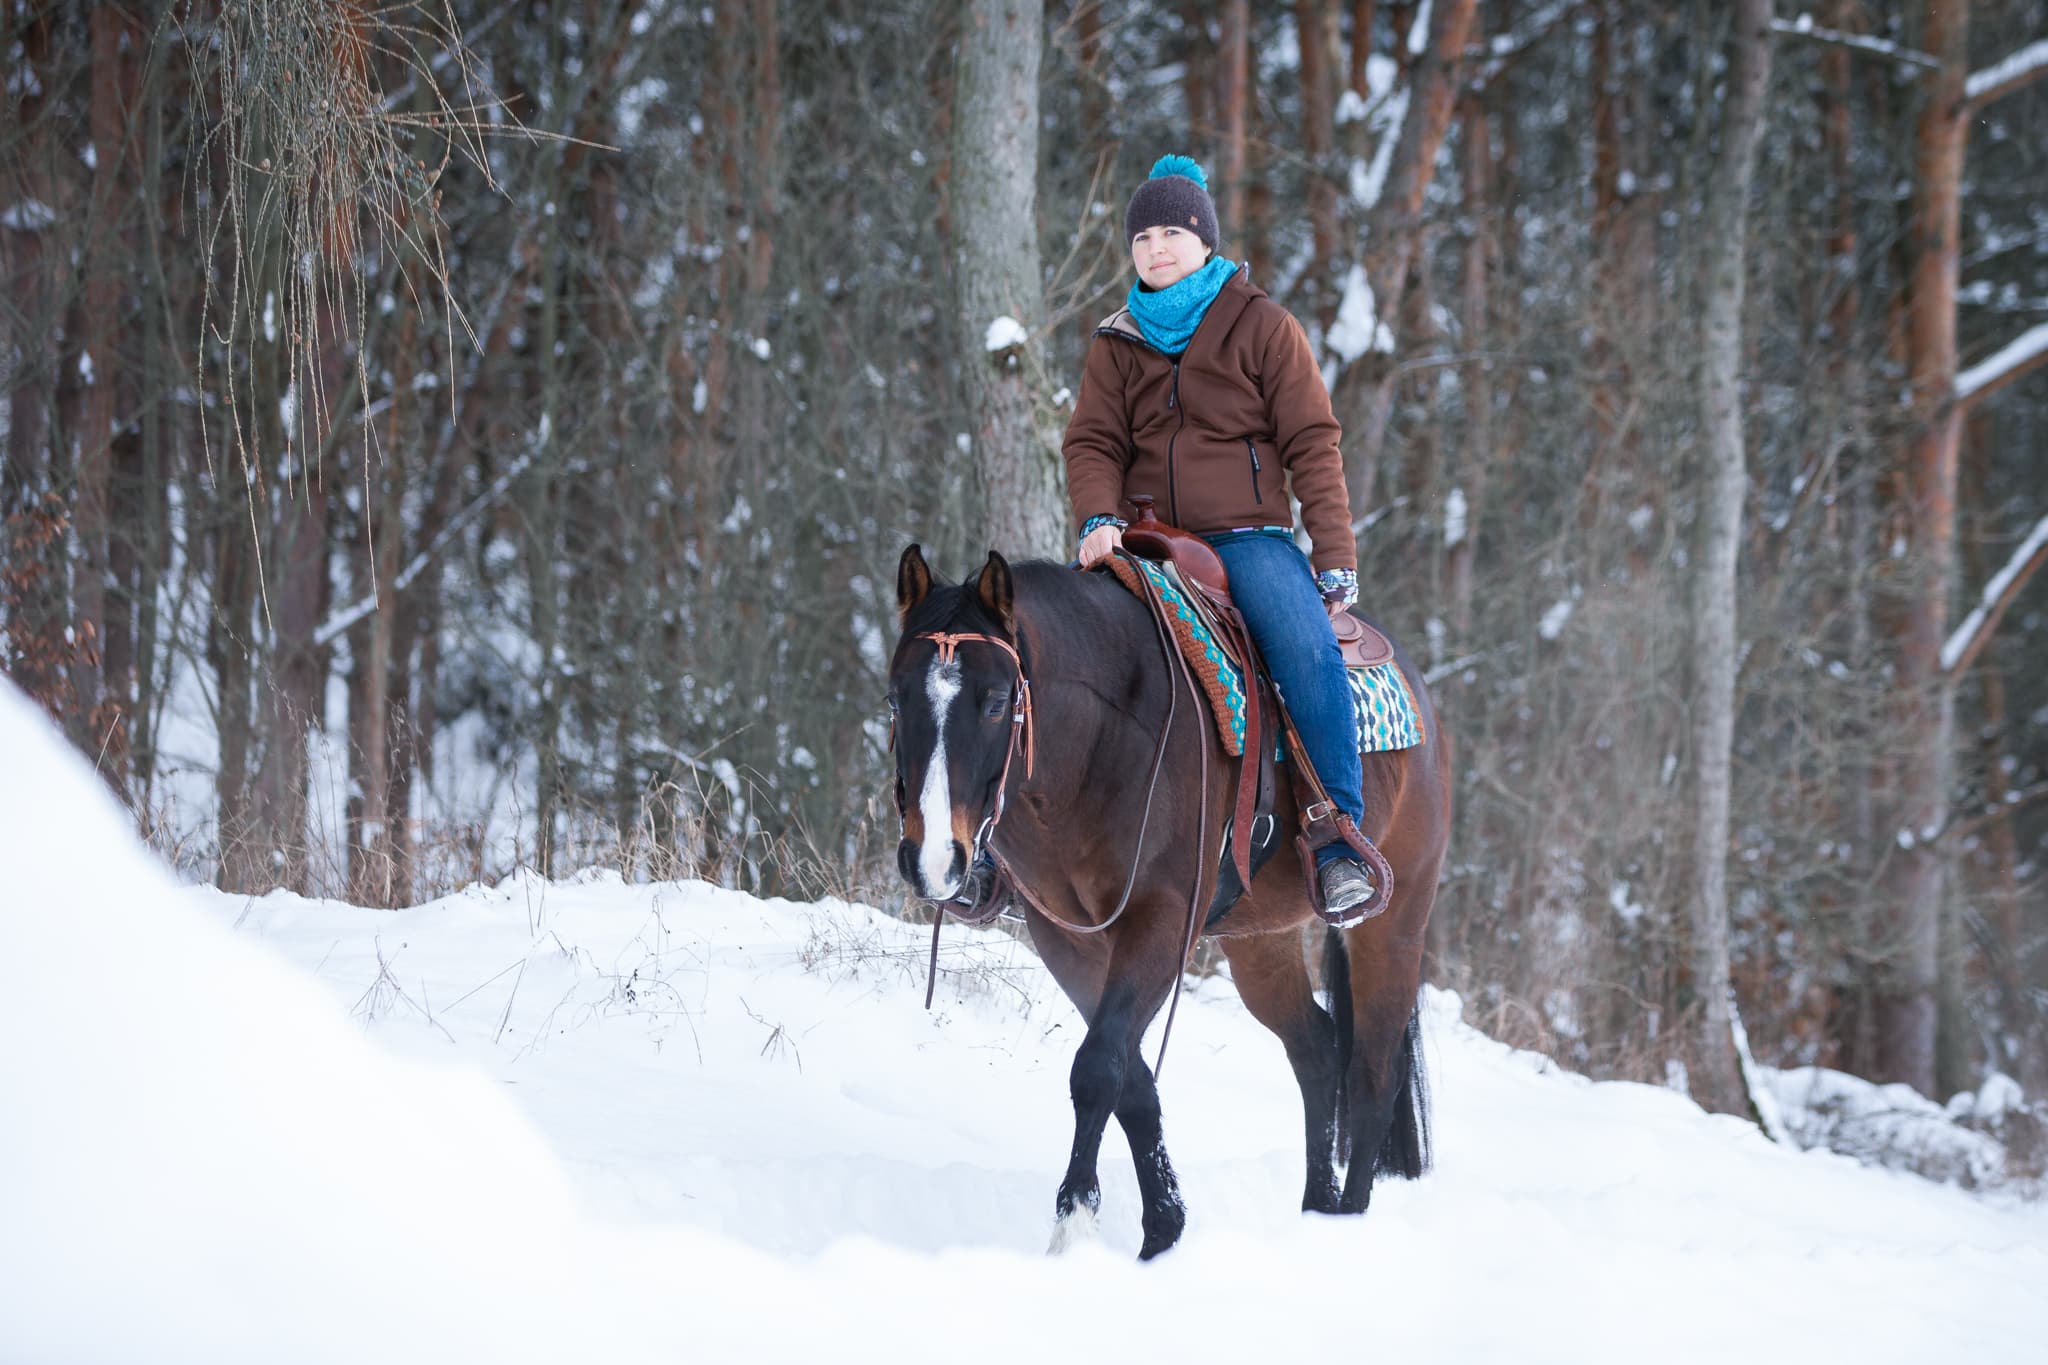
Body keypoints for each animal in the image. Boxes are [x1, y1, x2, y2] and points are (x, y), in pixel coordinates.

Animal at [888, 544, 1451, 1259]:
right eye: (895, 698)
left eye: (993, 703)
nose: (933, 860)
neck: (1102, 740)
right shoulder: (1067, 937)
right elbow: (1131, 1079)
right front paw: (1164, 1228)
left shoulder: (1159, 919)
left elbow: (1098, 1067)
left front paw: (1074, 1227)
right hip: (1259, 946)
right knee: (1318, 1051)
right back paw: (1317, 1209)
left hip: (1394, 928)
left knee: (1372, 1073)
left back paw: (1346, 1225)